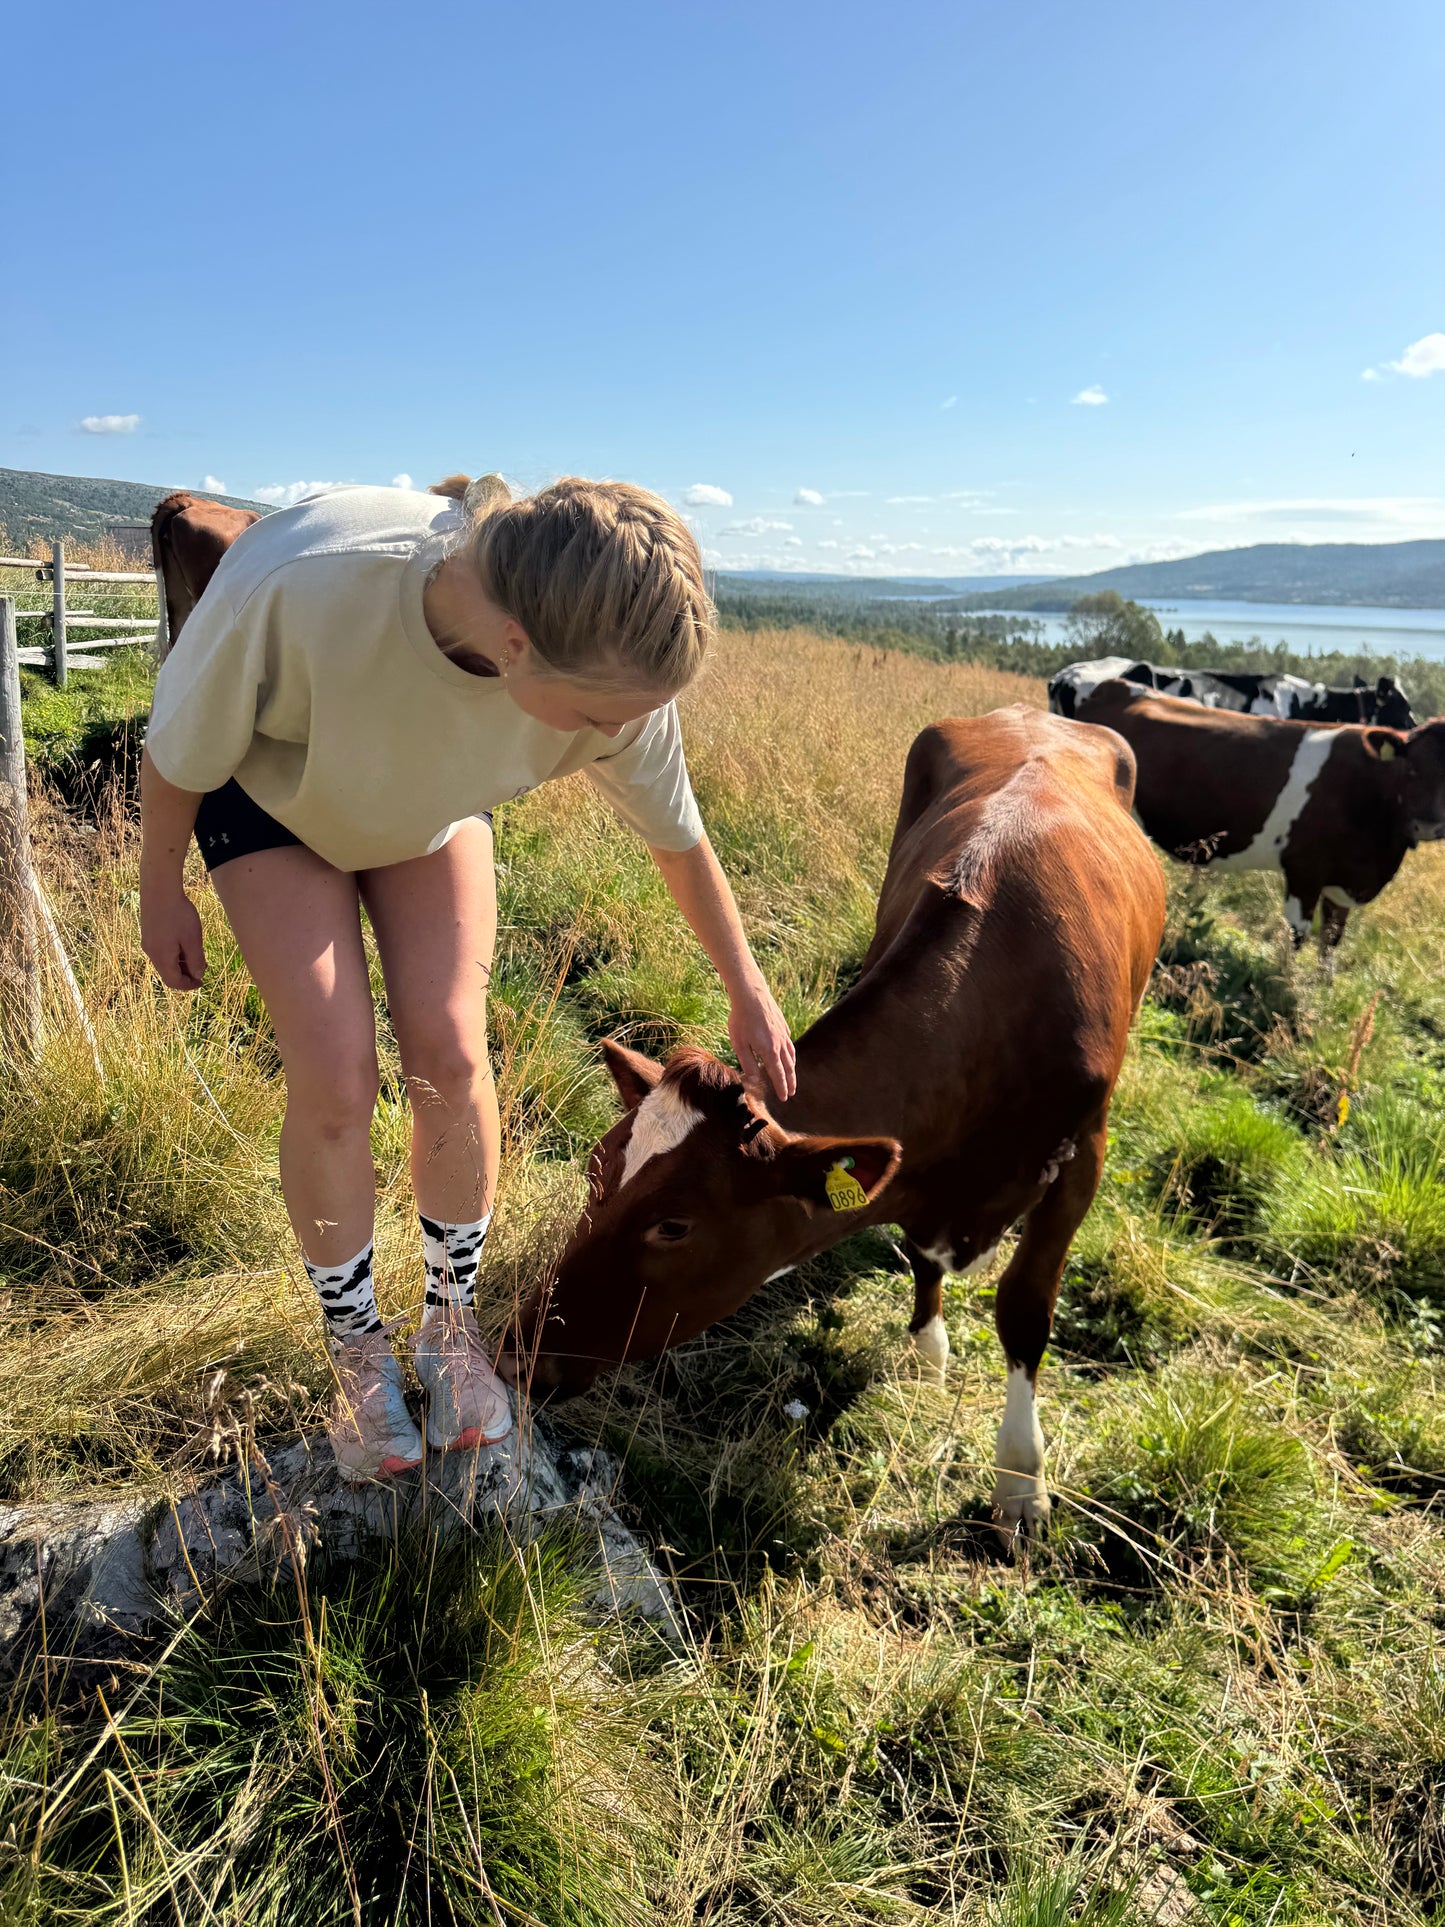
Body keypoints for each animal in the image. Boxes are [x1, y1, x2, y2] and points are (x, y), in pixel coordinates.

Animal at [500, 706, 1166, 1540]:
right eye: (594, 1170)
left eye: (674, 1225)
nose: (517, 1353)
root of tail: (1037, 713)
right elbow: (920, 1253)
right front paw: (928, 1348)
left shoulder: (1084, 1155)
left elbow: (1024, 1308)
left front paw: (1020, 1481)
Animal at [1074, 679, 1445, 951]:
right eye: (1409, 768)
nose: (1427, 825)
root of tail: (1116, 685)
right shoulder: (1303, 871)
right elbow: (1295, 938)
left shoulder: (1343, 882)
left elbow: (1330, 941)